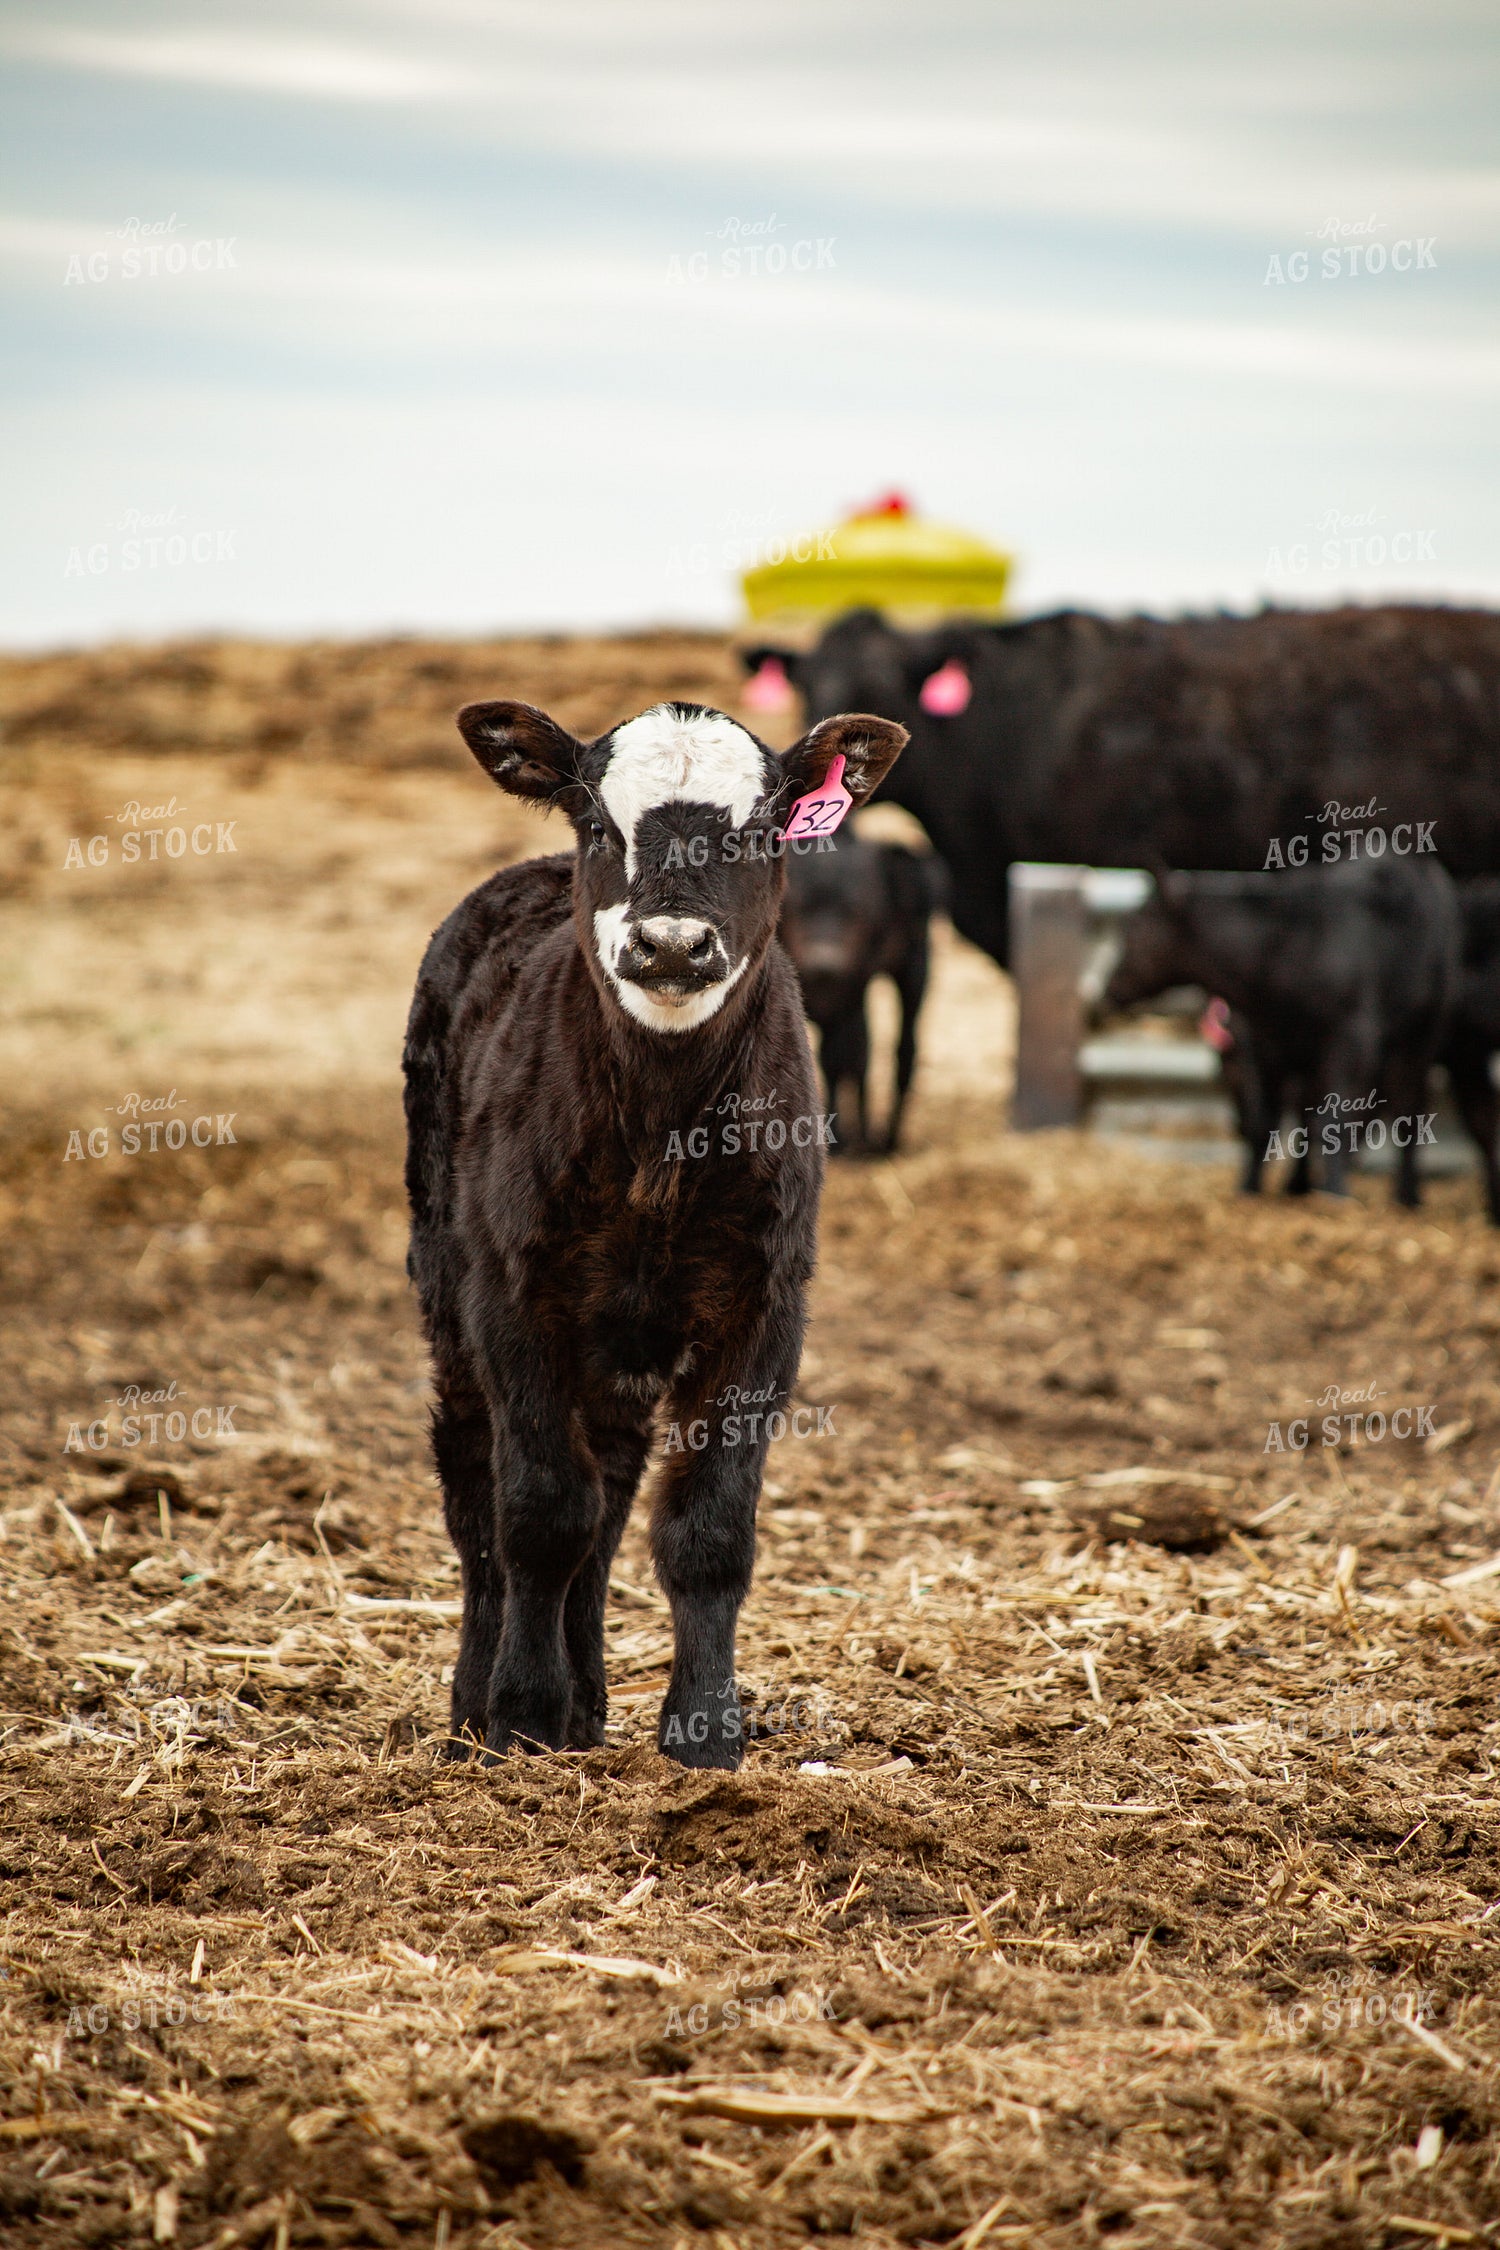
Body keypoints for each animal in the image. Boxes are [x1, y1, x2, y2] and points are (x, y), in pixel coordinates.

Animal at [403, 698, 907, 1769]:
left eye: (761, 832)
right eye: (601, 826)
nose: (672, 946)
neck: (663, 1135)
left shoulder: (765, 1304)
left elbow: (706, 1529)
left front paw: (705, 1731)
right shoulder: (514, 1290)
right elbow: (540, 1510)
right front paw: (520, 1714)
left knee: (614, 1485)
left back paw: (589, 1701)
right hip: (445, 1278)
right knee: (475, 1477)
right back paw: (478, 1706)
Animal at [777, 832, 946, 1154]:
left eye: (857, 912)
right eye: (798, 906)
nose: (825, 963)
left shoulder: (852, 994)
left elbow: (843, 1057)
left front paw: (843, 1138)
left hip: (913, 972)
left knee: (902, 1049)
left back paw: (883, 1140)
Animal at [1101, 858, 1460, 1203]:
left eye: (1135, 927)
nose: (1109, 989)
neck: (1280, 947)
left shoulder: (1350, 1041)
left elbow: (1335, 1121)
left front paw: (1335, 1193)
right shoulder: (1264, 1045)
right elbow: (1266, 1120)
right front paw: (1249, 1188)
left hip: (1421, 1035)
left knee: (1409, 1109)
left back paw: (1407, 1194)